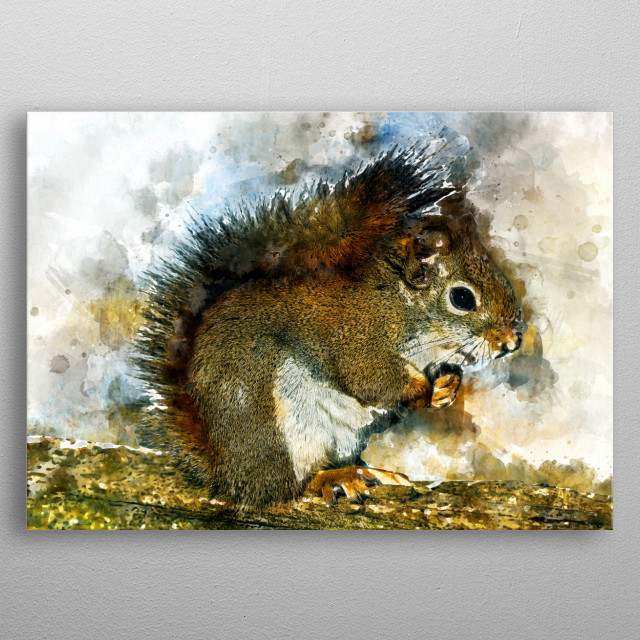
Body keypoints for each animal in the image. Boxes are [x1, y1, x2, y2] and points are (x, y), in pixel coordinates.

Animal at [134, 136, 524, 507]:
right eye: (462, 298)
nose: (512, 342)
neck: (401, 304)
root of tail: (228, 473)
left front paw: (446, 388)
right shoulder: (358, 336)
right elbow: (371, 378)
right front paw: (423, 389)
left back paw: (370, 472)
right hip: (275, 427)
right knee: (288, 487)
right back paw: (332, 478)